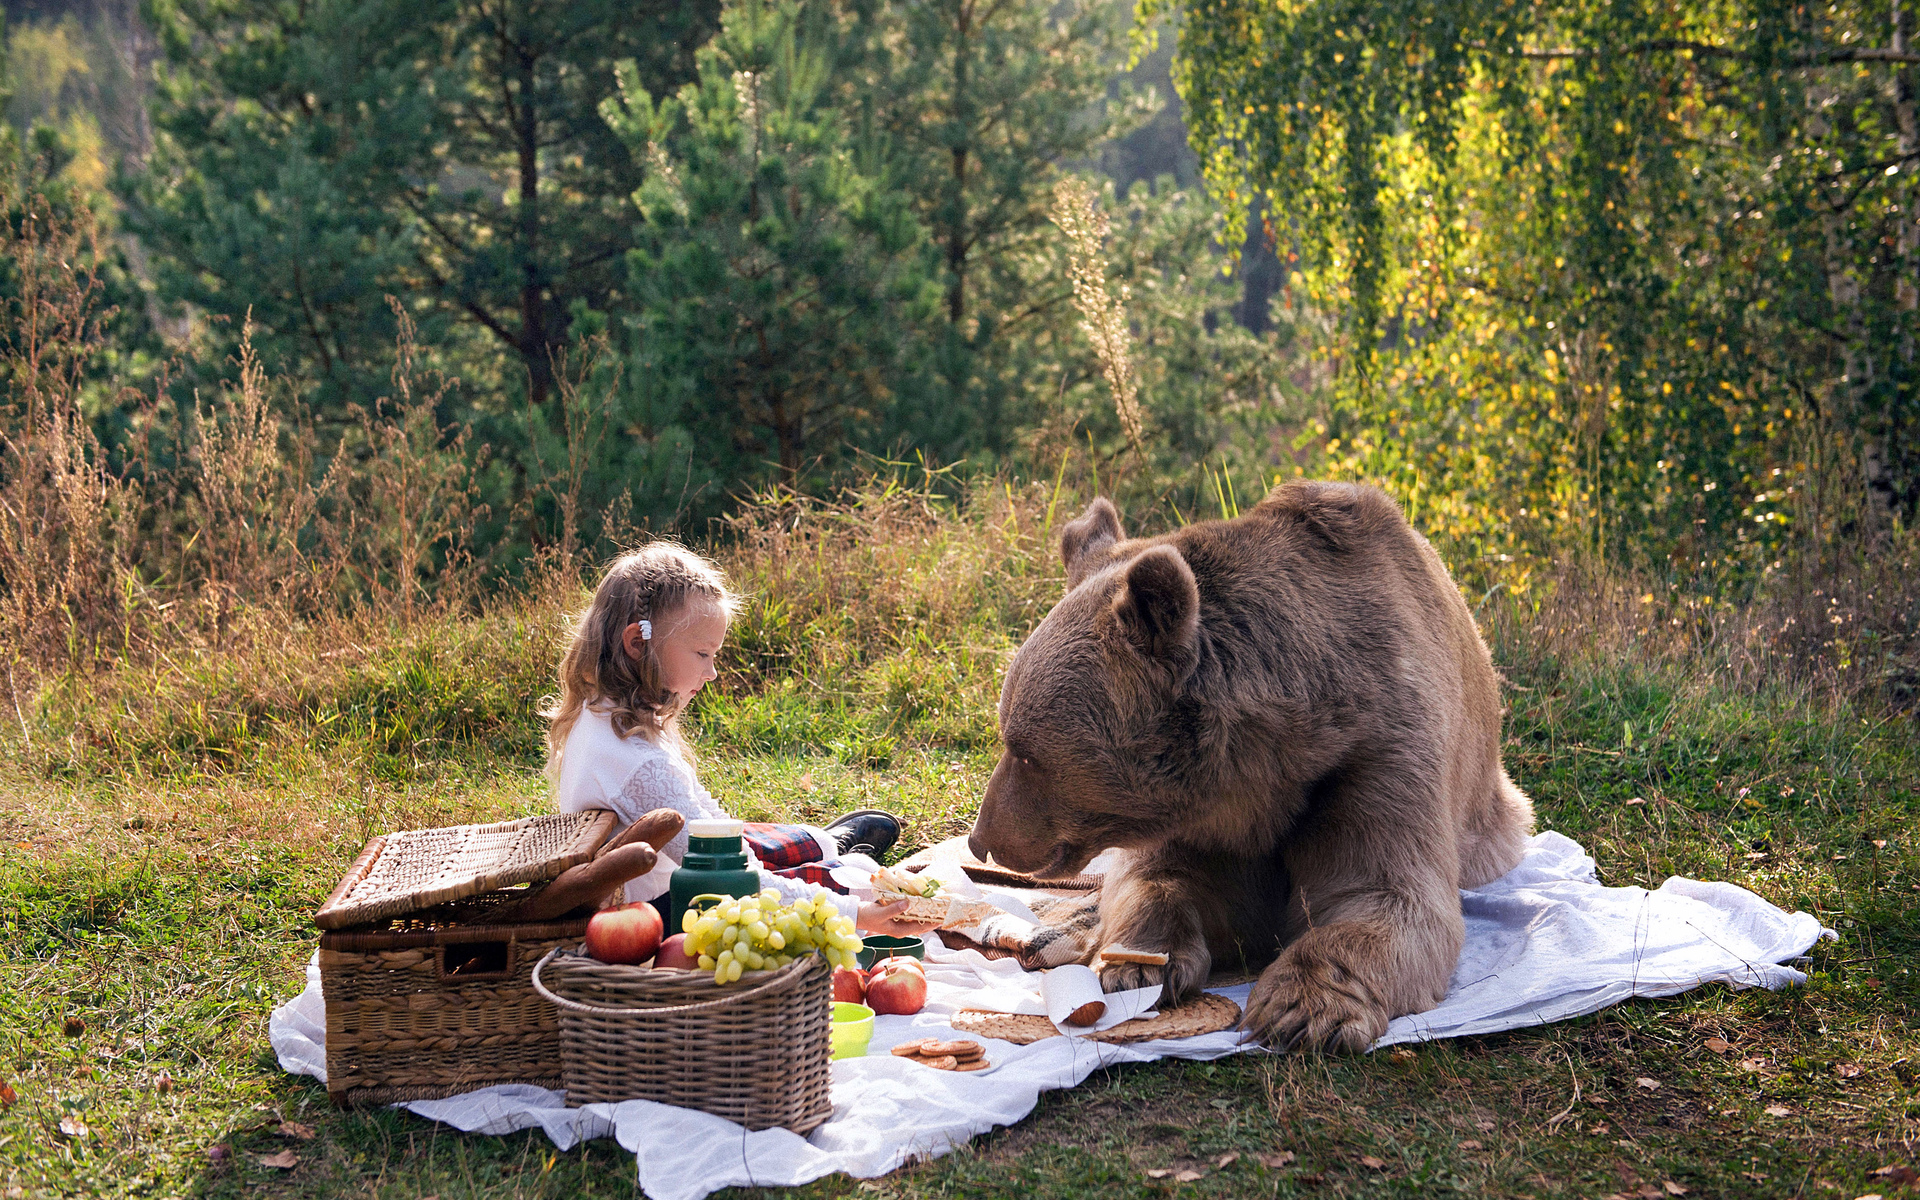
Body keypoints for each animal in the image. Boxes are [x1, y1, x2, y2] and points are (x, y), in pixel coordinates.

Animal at [967, 478, 1536, 1044]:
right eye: (1008, 735)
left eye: (1025, 753)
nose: (981, 840)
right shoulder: (1199, 817)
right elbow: (1161, 880)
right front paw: (1137, 965)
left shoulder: (1376, 751)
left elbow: (1385, 890)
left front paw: (1300, 1007)